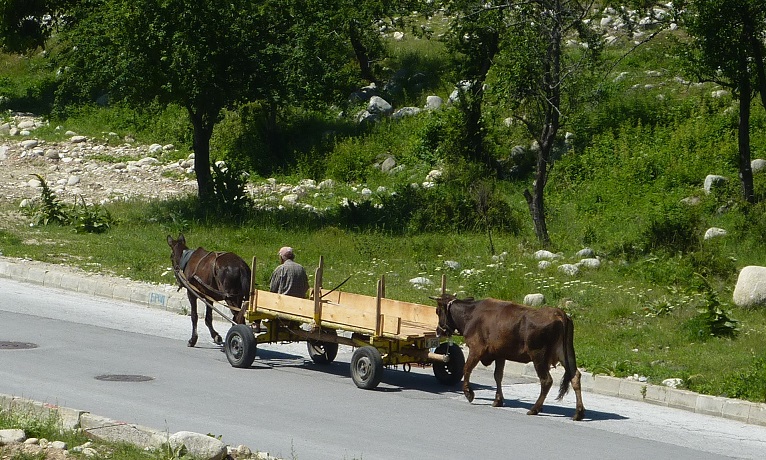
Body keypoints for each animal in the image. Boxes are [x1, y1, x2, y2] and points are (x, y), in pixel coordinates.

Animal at [428, 294, 584, 420]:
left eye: (437, 311)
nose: (438, 331)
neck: (470, 314)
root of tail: (558, 312)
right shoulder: (499, 354)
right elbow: (498, 376)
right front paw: (498, 400)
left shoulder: (476, 349)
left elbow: (466, 369)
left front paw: (468, 393)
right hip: (565, 353)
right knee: (575, 376)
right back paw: (579, 413)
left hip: (538, 355)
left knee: (546, 380)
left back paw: (534, 408)